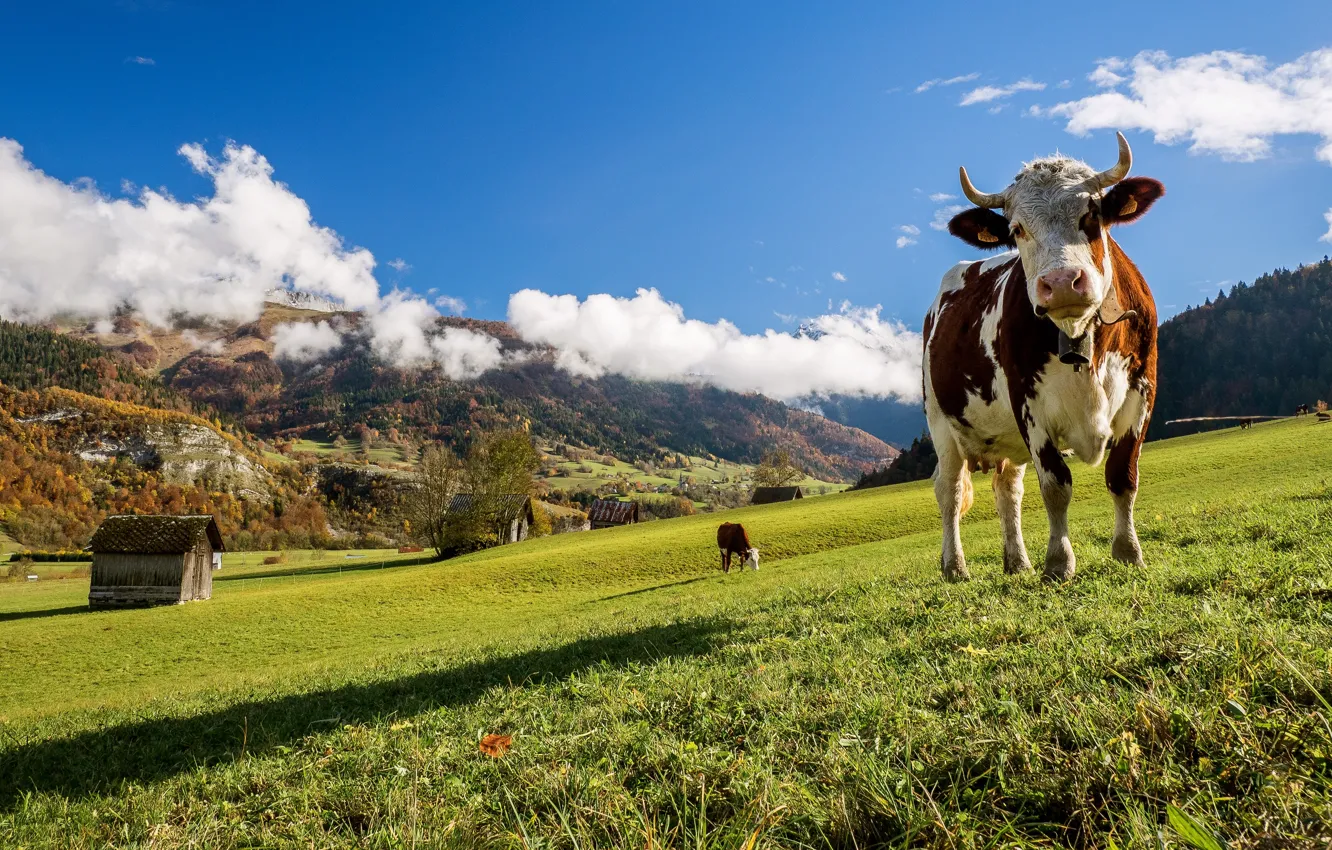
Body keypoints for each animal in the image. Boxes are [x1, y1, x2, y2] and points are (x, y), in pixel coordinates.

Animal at [923, 132, 1163, 582]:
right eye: (1017, 229)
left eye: (1092, 214)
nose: (1062, 282)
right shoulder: (1028, 406)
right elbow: (1055, 486)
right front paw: (1058, 562)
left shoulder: (1142, 390)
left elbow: (1122, 475)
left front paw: (1128, 552)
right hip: (941, 422)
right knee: (949, 491)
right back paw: (955, 567)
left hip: (1004, 439)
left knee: (1007, 491)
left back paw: (1017, 562)